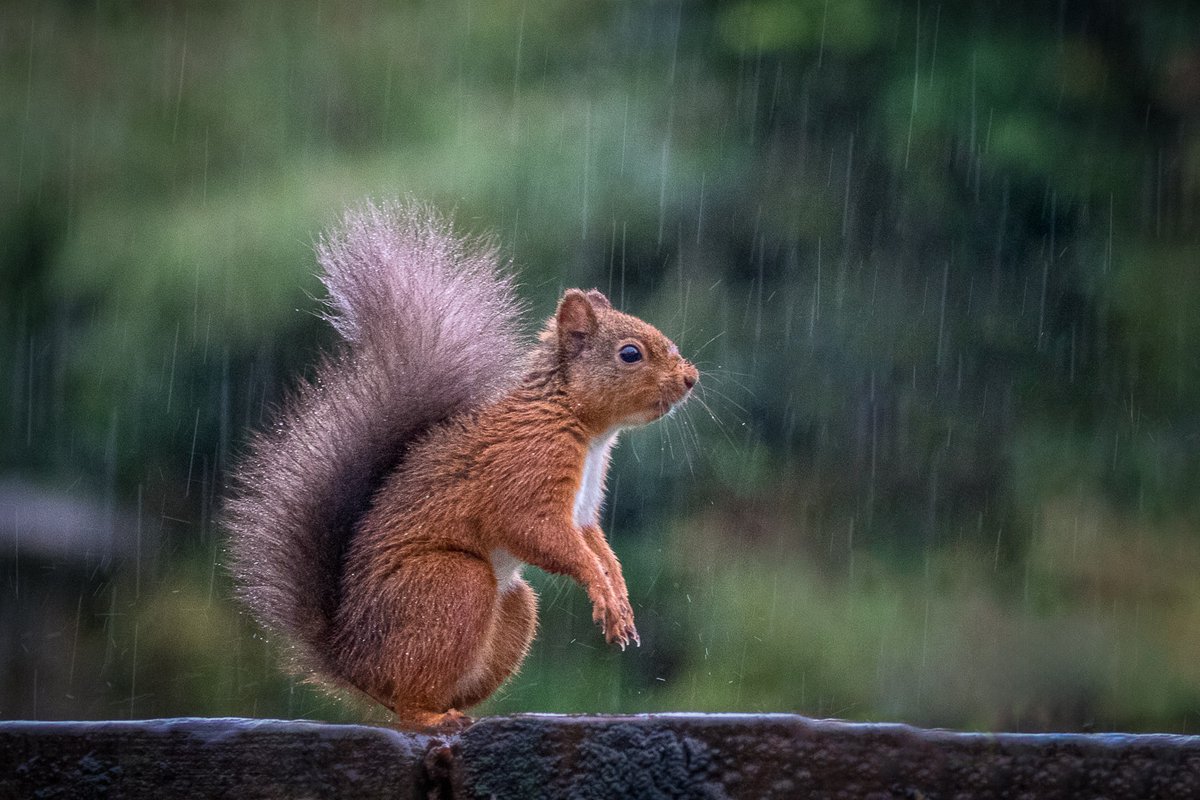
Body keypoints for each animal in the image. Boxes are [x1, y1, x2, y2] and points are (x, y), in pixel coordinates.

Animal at [225, 199, 698, 728]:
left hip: (513, 611)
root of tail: (352, 660)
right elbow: (536, 530)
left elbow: (595, 543)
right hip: (453, 584)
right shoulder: (527, 467)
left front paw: (618, 594)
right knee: (407, 702)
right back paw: (431, 718)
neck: (585, 428)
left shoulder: (583, 507)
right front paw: (601, 590)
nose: (691, 379)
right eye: (630, 354)